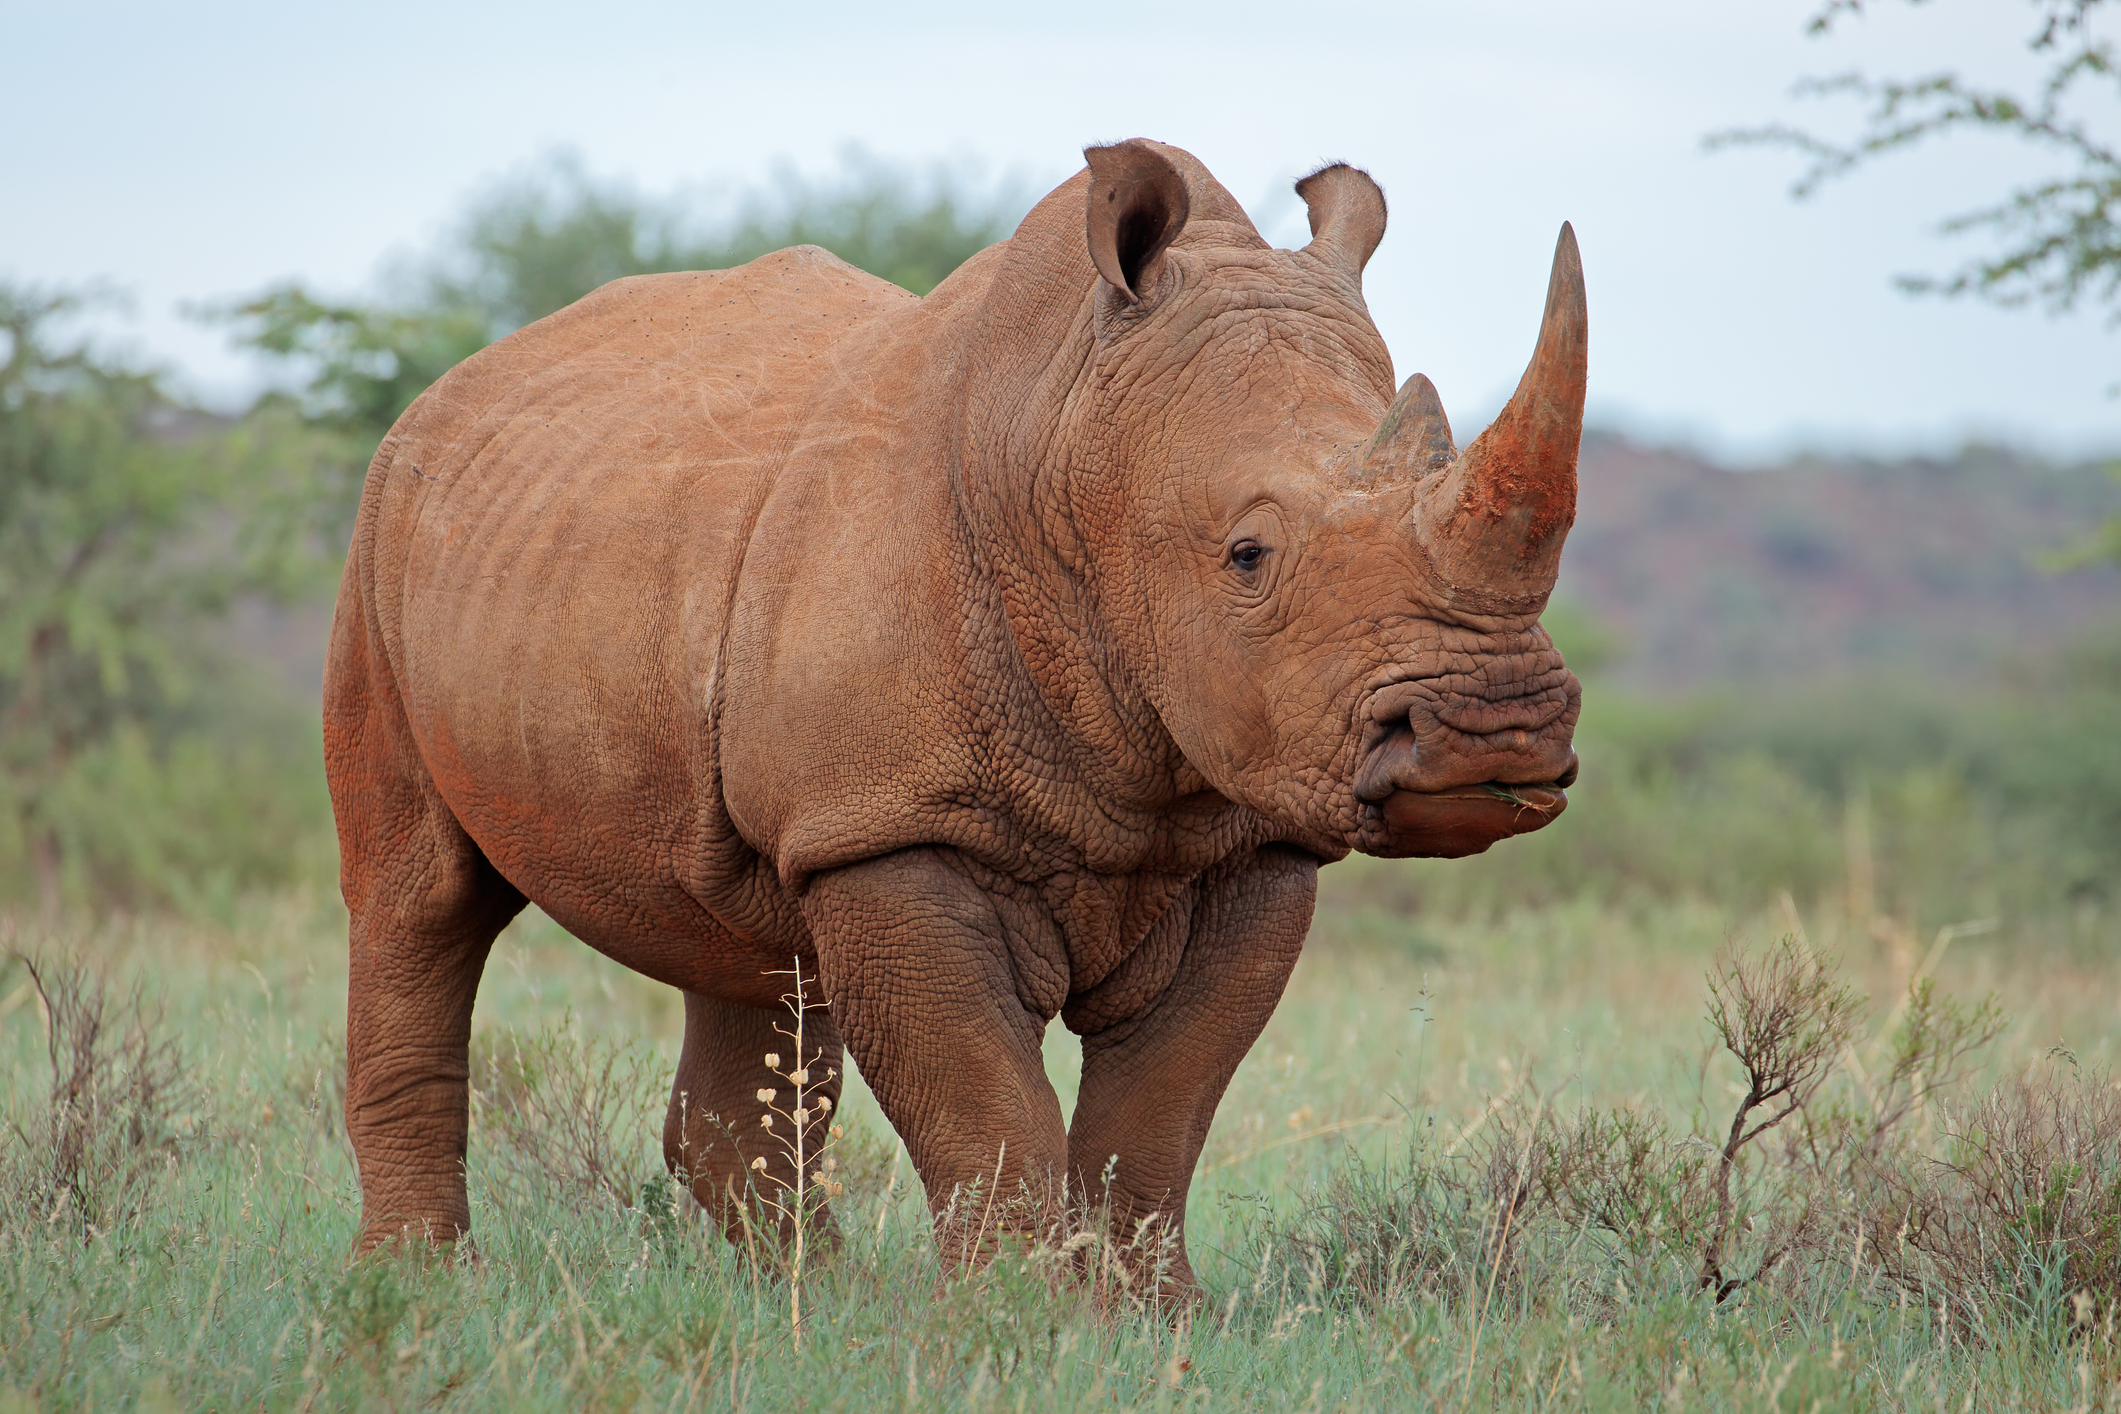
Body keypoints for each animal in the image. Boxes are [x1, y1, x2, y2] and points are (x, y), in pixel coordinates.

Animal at [326, 138, 1585, 1293]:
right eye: (1247, 554)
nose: (1495, 734)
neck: (1073, 443)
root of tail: (460, 381)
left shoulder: (1256, 824)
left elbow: (1157, 1119)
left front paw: (1151, 1327)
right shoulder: (893, 824)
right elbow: (985, 1111)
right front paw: (1014, 1325)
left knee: (751, 948)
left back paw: (812, 1308)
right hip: (384, 530)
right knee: (418, 899)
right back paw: (421, 1288)